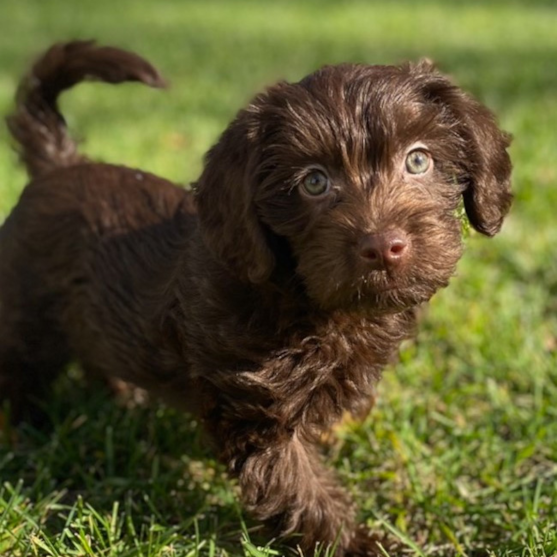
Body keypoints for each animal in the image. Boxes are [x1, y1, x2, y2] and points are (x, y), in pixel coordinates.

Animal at [1, 41, 512, 552]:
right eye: (314, 182)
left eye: (418, 161)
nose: (382, 246)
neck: (305, 299)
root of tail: (60, 164)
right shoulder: (253, 410)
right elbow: (299, 487)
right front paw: (355, 543)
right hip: (29, 316)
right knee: (22, 373)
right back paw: (29, 433)